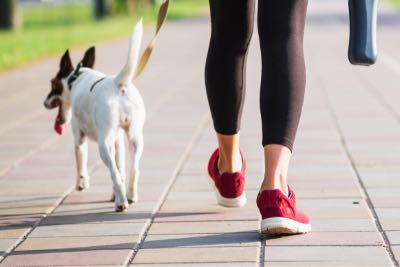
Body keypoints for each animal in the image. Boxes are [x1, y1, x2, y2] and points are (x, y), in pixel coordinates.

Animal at [43, 19, 145, 213]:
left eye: (53, 84)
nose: (44, 103)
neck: (76, 77)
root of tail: (117, 84)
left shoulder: (79, 137)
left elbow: (80, 163)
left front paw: (81, 183)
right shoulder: (118, 141)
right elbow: (121, 168)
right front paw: (114, 193)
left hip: (103, 145)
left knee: (114, 172)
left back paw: (121, 203)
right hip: (134, 139)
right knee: (132, 170)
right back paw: (129, 195)